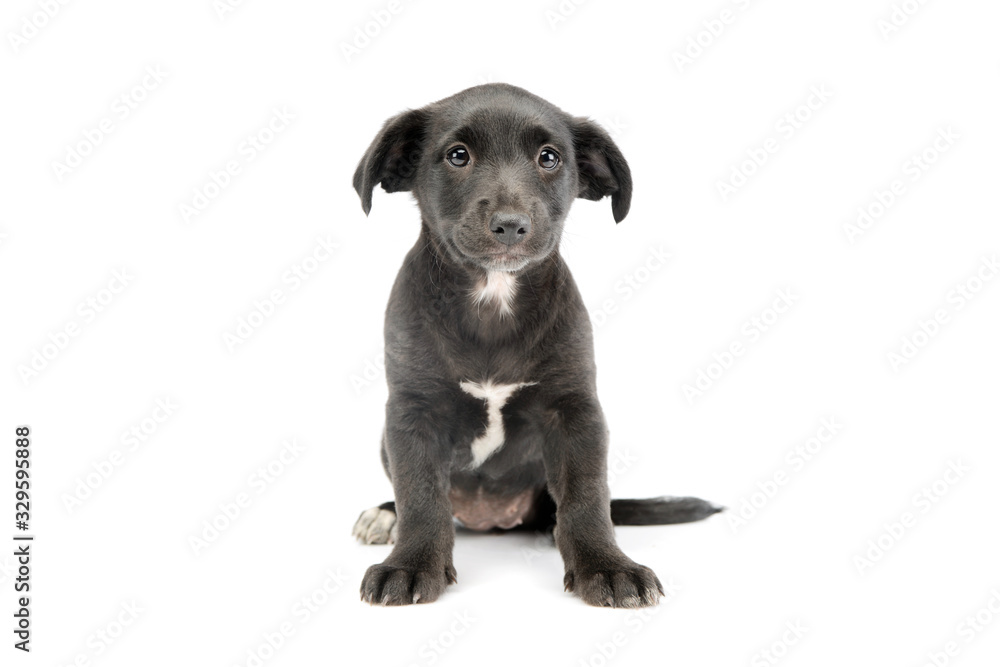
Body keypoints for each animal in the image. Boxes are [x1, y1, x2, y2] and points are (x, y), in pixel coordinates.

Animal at [352, 85, 720, 612]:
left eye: (549, 157)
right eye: (457, 155)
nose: (511, 225)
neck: (493, 297)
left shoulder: (574, 410)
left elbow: (587, 497)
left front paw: (607, 567)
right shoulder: (413, 411)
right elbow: (419, 493)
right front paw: (410, 564)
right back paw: (385, 515)